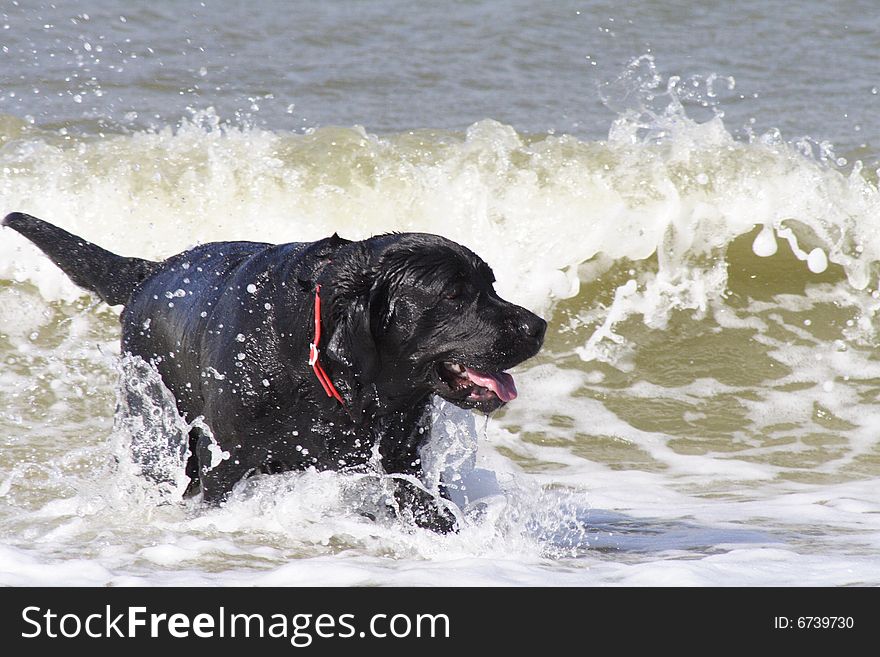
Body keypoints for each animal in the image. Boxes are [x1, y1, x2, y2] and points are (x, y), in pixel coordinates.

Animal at [3, 213, 544, 532]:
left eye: (491, 286)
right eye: (454, 294)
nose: (538, 326)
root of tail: (149, 272)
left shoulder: (403, 457)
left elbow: (425, 503)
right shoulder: (227, 464)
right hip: (155, 428)